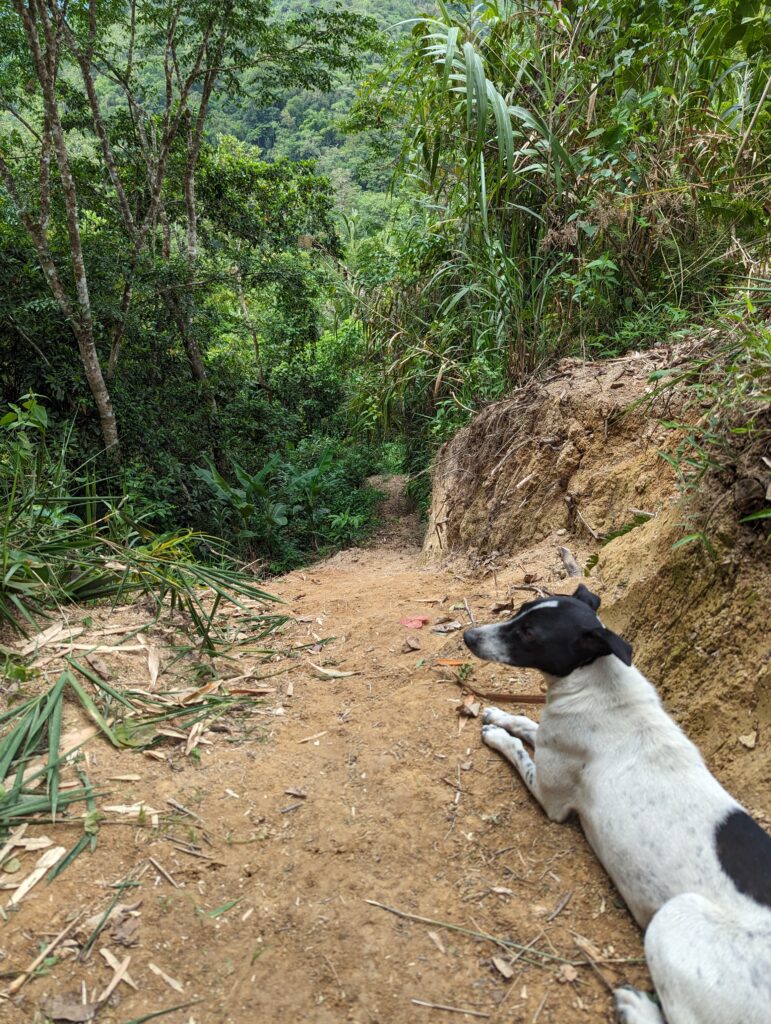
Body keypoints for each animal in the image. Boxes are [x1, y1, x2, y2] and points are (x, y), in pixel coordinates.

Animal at [462, 585, 769, 1024]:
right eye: (520, 609)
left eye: (530, 634)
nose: (467, 637)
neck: (599, 682)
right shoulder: (550, 736)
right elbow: (526, 722)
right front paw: (500, 712)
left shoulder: (550, 794)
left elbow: (519, 748)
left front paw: (497, 734)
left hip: (673, 918)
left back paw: (634, 1004)